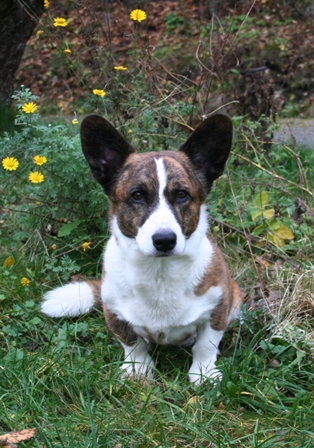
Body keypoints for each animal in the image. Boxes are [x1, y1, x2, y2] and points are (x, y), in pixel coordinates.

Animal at [41, 114, 243, 384]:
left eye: (182, 194)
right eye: (137, 195)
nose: (165, 240)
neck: (160, 271)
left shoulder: (217, 308)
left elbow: (206, 345)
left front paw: (204, 374)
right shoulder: (116, 314)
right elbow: (133, 344)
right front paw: (139, 370)